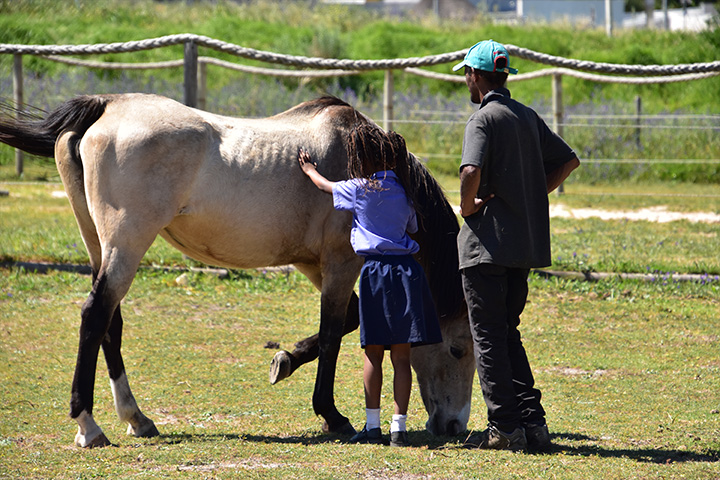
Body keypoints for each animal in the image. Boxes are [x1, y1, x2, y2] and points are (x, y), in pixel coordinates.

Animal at [0, 94, 475, 448]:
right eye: (457, 350)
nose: (454, 426)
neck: (364, 159)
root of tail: (107, 106)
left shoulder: (313, 265)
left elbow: (344, 323)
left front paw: (284, 361)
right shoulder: (341, 265)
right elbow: (333, 334)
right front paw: (332, 415)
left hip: (101, 246)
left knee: (109, 324)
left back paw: (136, 418)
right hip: (126, 245)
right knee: (94, 316)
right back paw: (89, 425)